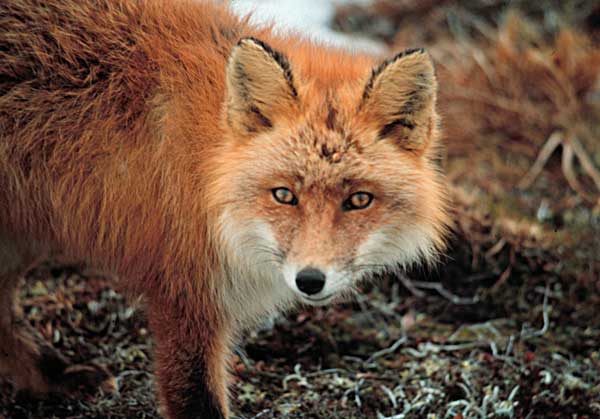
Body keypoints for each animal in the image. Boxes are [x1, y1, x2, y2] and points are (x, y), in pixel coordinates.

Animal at [0, 0, 450, 418]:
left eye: (358, 200)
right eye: (284, 195)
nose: (309, 280)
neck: (208, 168)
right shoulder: (182, 289)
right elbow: (196, 397)